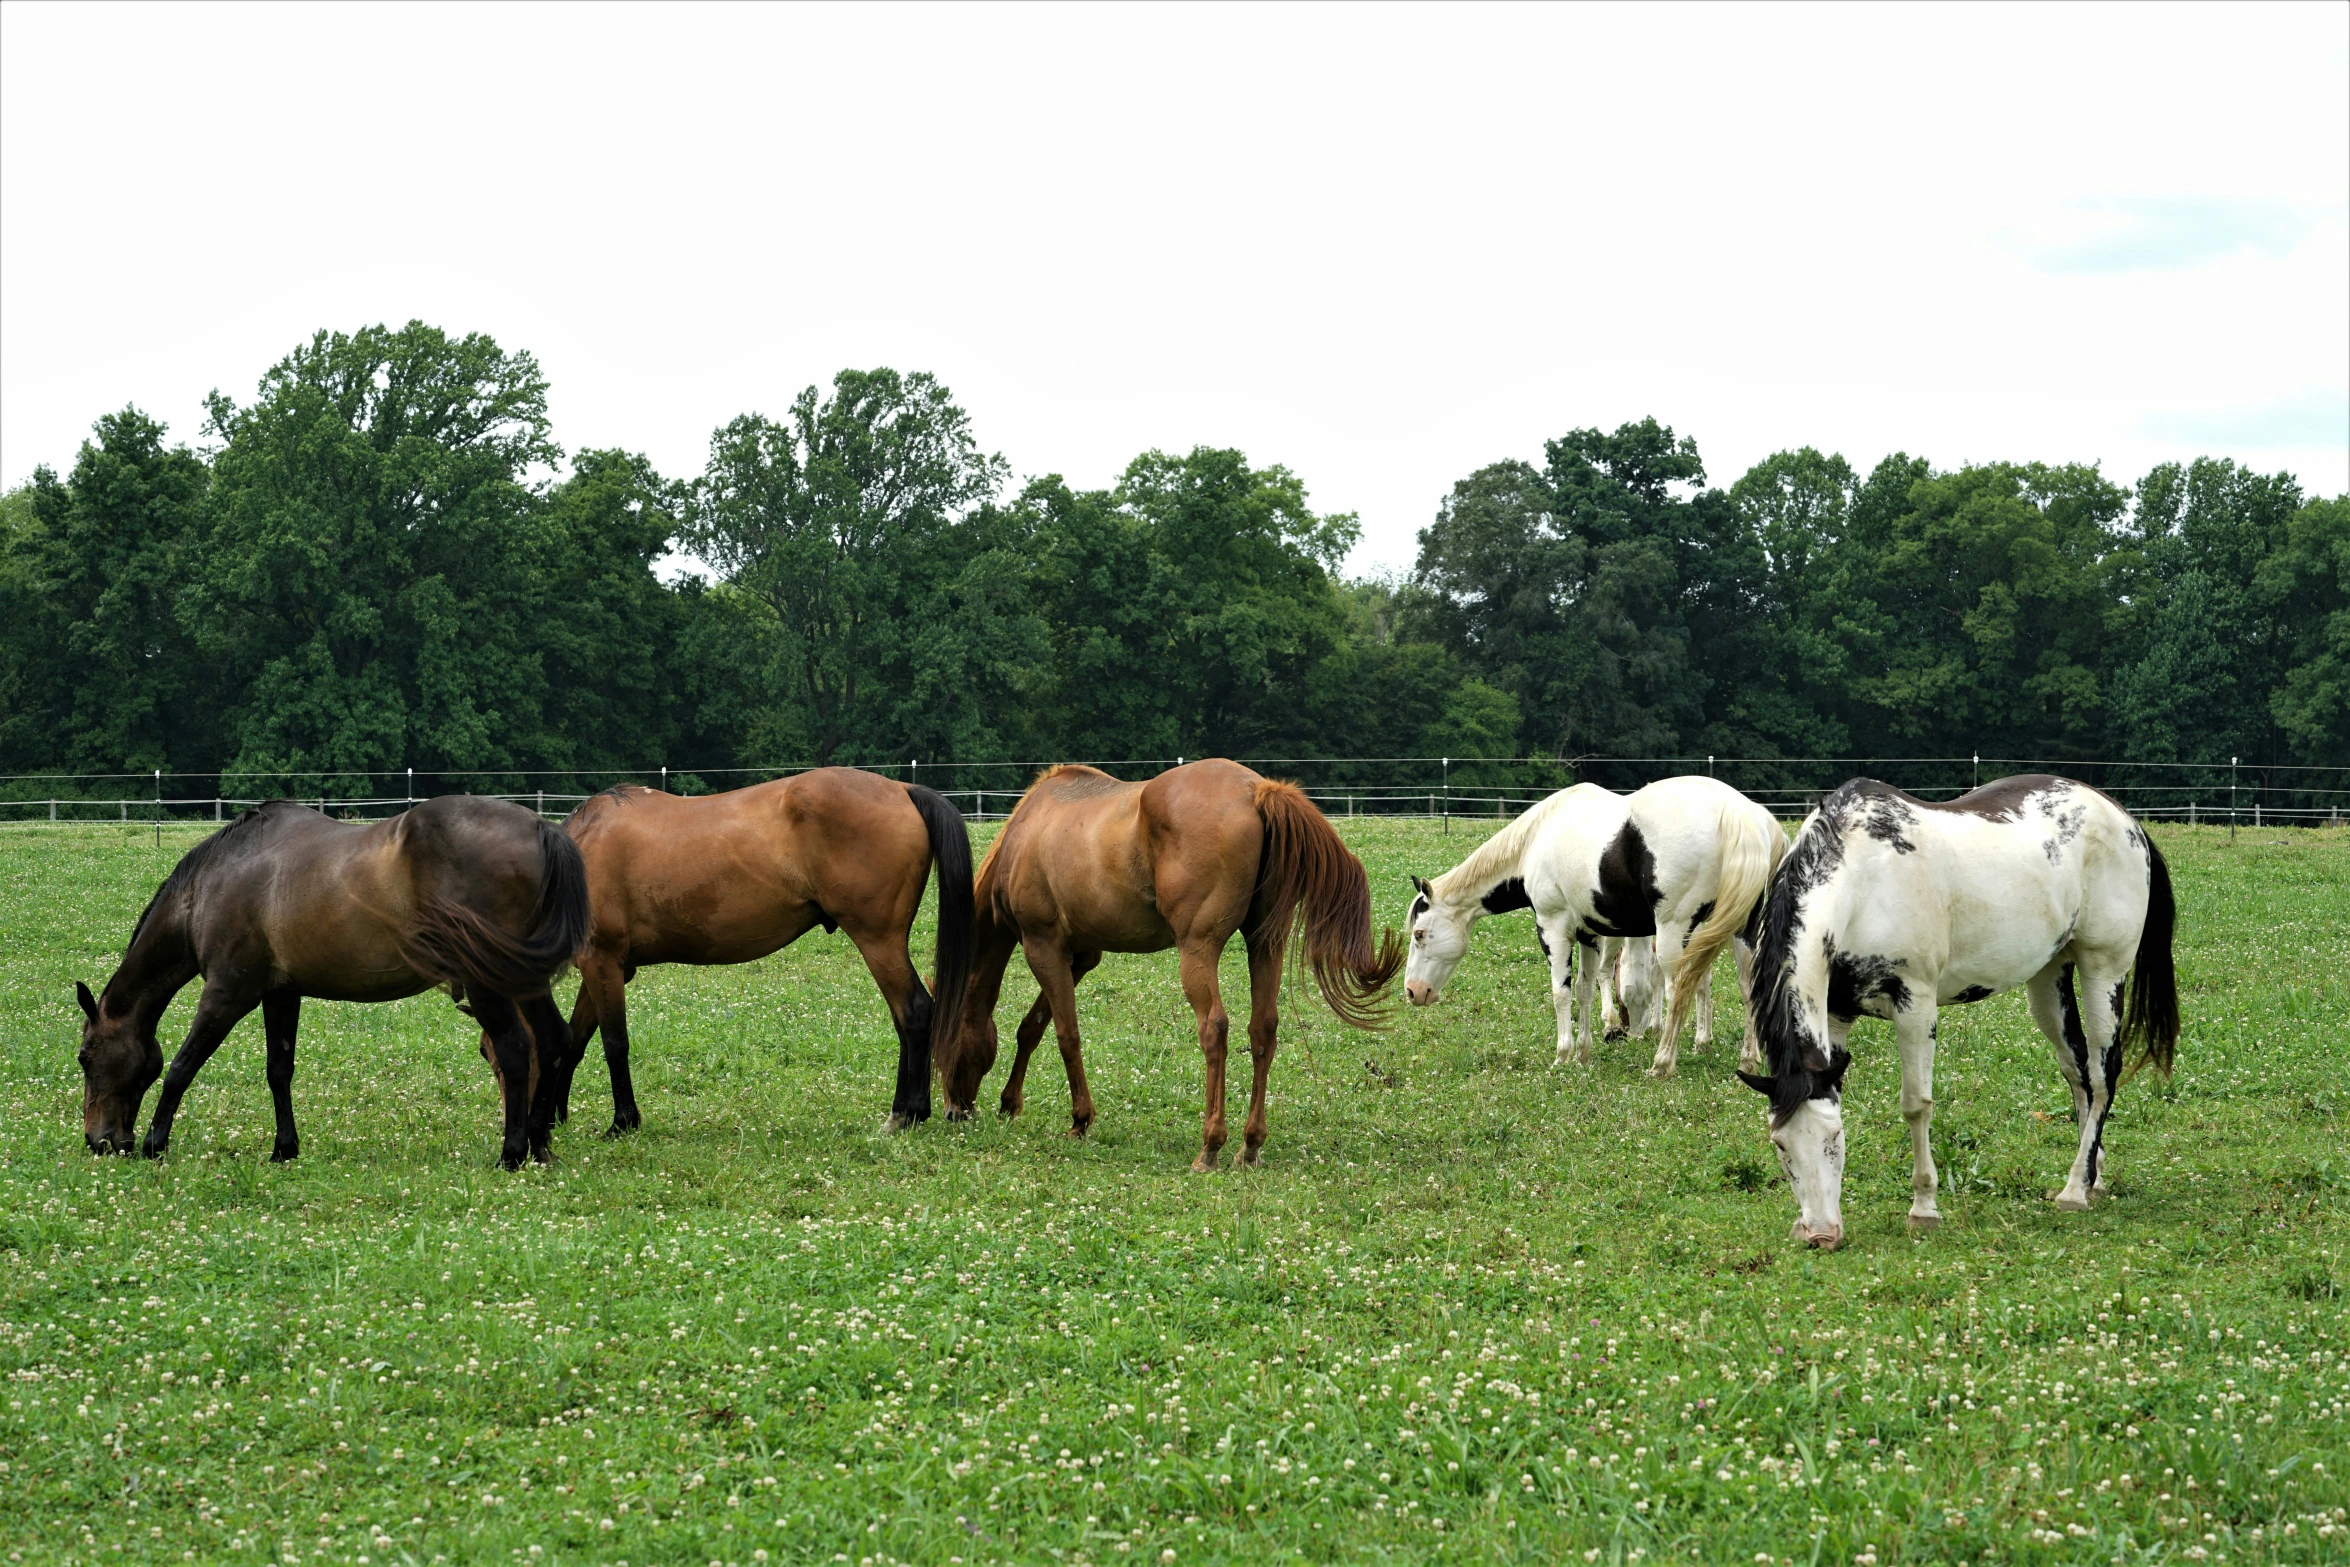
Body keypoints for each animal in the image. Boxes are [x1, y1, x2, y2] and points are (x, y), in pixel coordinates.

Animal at [75, 803, 587, 1169]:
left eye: (84, 1057)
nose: (99, 1141)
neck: (212, 883)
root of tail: (541, 828)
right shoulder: (281, 994)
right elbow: (278, 1070)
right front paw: (284, 1148)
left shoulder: (227, 993)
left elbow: (182, 1067)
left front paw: (155, 1144)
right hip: (524, 980)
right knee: (553, 1040)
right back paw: (539, 1143)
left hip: (490, 983)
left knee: (517, 1049)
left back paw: (512, 1153)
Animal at [535, 770, 972, 1127]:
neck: (582, 851)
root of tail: (902, 788)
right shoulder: (605, 967)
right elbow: (576, 1039)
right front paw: (561, 1115)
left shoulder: (602, 962)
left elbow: (613, 1044)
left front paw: (623, 1122)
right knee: (907, 1019)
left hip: (878, 942)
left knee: (915, 1013)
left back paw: (905, 1114)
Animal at [935, 761, 1400, 1174]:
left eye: (942, 1047)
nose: (955, 1111)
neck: (1028, 830)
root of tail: (1257, 790)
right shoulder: (1080, 957)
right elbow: (1032, 1028)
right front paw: (1010, 1103)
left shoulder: (1043, 947)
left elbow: (1066, 1035)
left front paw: (1079, 1119)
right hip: (1265, 944)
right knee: (1263, 1029)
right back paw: (1249, 1145)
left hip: (1197, 950)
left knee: (1214, 1028)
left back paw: (1211, 1146)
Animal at [1391, 775, 1776, 1080]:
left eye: (1419, 934)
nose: (1413, 991)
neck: (1537, 838)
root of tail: (1736, 811)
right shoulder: (1589, 935)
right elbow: (1585, 991)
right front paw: (1583, 1054)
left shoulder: (1553, 928)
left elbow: (1561, 993)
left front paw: (1563, 1055)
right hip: (1737, 933)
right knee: (1745, 988)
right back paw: (1747, 1061)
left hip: (1674, 932)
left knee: (1678, 988)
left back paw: (1663, 1063)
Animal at [1748, 779, 2180, 1259]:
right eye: (1780, 1145)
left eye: (1833, 1140)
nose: (1820, 1235)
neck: (1863, 878)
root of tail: (2125, 820)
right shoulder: (1836, 1014)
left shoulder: (1915, 1005)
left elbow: (1916, 1105)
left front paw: (1924, 1208)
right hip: (2050, 978)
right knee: (2078, 1072)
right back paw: (2093, 1177)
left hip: (2104, 971)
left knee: (2104, 1075)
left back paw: (2073, 1190)